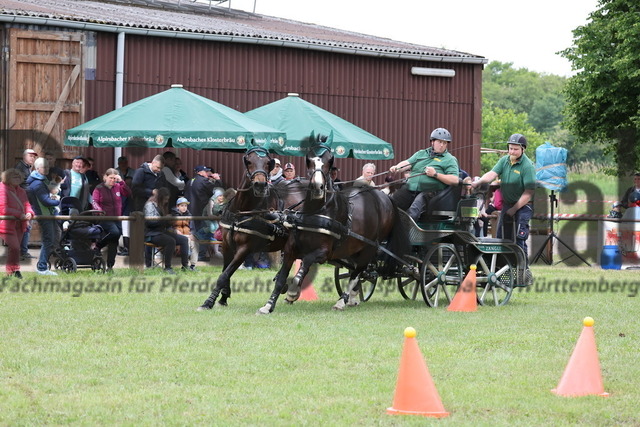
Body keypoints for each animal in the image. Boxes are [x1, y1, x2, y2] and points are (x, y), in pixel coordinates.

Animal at [197, 146, 307, 310]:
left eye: (268, 163)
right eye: (249, 161)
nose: (260, 185)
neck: (241, 212)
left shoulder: (245, 249)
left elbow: (224, 274)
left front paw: (208, 302)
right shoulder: (227, 245)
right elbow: (225, 272)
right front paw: (223, 296)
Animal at [257, 143, 409, 314]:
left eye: (326, 166)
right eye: (310, 166)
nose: (318, 187)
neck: (315, 213)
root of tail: (385, 198)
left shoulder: (323, 253)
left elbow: (304, 265)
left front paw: (292, 293)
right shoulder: (291, 249)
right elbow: (281, 278)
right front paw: (268, 305)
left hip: (369, 247)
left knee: (357, 273)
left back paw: (342, 301)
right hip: (354, 248)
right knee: (358, 272)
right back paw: (353, 298)